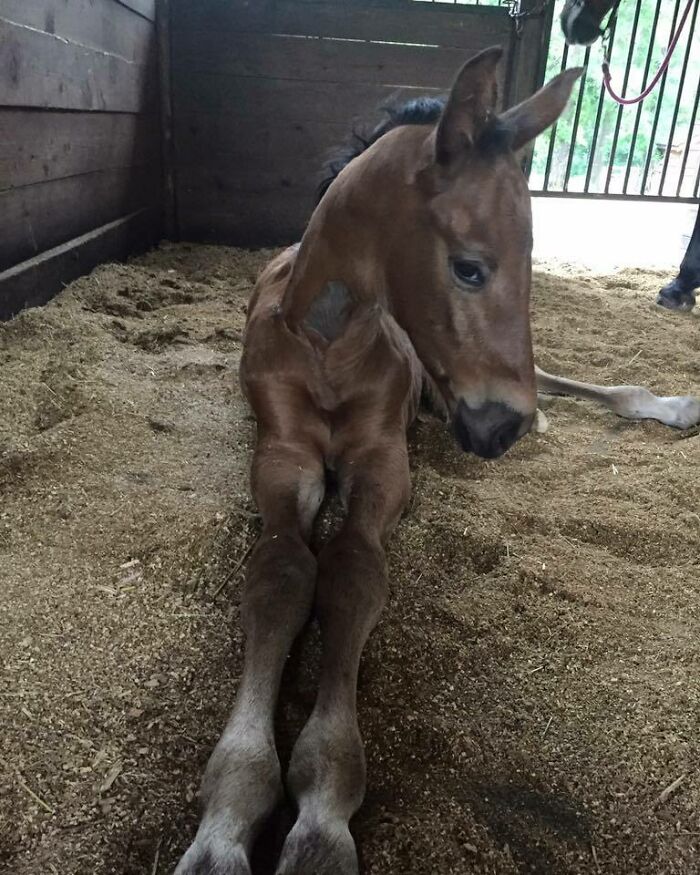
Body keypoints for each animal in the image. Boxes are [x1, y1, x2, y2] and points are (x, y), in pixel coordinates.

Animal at [175, 47, 700, 875]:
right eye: (470, 267)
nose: (502, 424)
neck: (329, 344)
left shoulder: (384, 460)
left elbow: (354, 569)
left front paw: (322, 813)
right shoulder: (282, 455)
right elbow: (284, 571)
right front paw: (224, 824)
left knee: (574, 381)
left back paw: (662, 405)